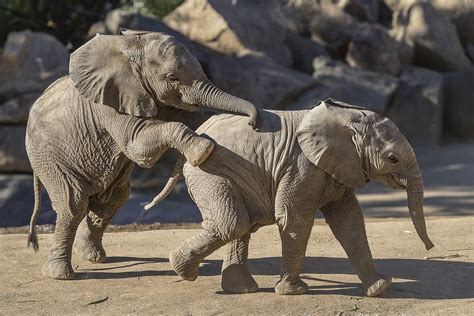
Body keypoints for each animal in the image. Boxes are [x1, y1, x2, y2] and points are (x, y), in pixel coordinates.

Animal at [146, 99, 436, 296]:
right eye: (392, 158)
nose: (430, 248)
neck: (346, 115)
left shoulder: (337, 165)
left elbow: (349, 220)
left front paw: (380, 288)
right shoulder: (302, 165)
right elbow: (294, 217)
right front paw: (293, 292)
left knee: (241, 225)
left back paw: (239, 289)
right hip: (209, 172)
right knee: (232, 223)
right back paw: (182, 269)